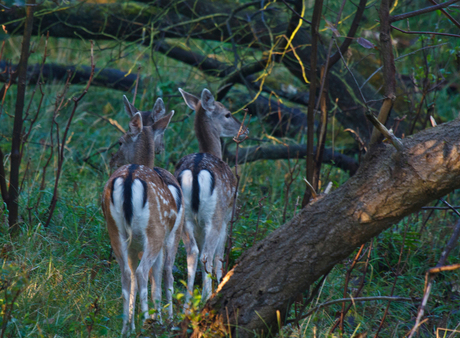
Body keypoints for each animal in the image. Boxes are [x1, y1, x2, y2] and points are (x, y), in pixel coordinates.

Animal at [102, 101, 181, 334]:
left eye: (120, 141)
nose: (112, 160)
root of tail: (129, 178)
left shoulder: (133, 245)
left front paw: (133, 324)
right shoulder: (169, 235)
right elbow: (162, 279)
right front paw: (163, 320)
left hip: (115, 229)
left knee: (127, 275)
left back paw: (125, 328)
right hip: (154, 231)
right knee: (142, 273)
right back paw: (148, 323)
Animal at [175, 88, 248, 304]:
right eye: (228, 114)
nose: (244, 130)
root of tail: (196, 170)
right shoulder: (226, 219)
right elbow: (219, 257)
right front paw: (219, 284)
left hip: (185, 217)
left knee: (192, 253)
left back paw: (188, 302)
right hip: (214, 215)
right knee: (206, 254)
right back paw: (206, 297)